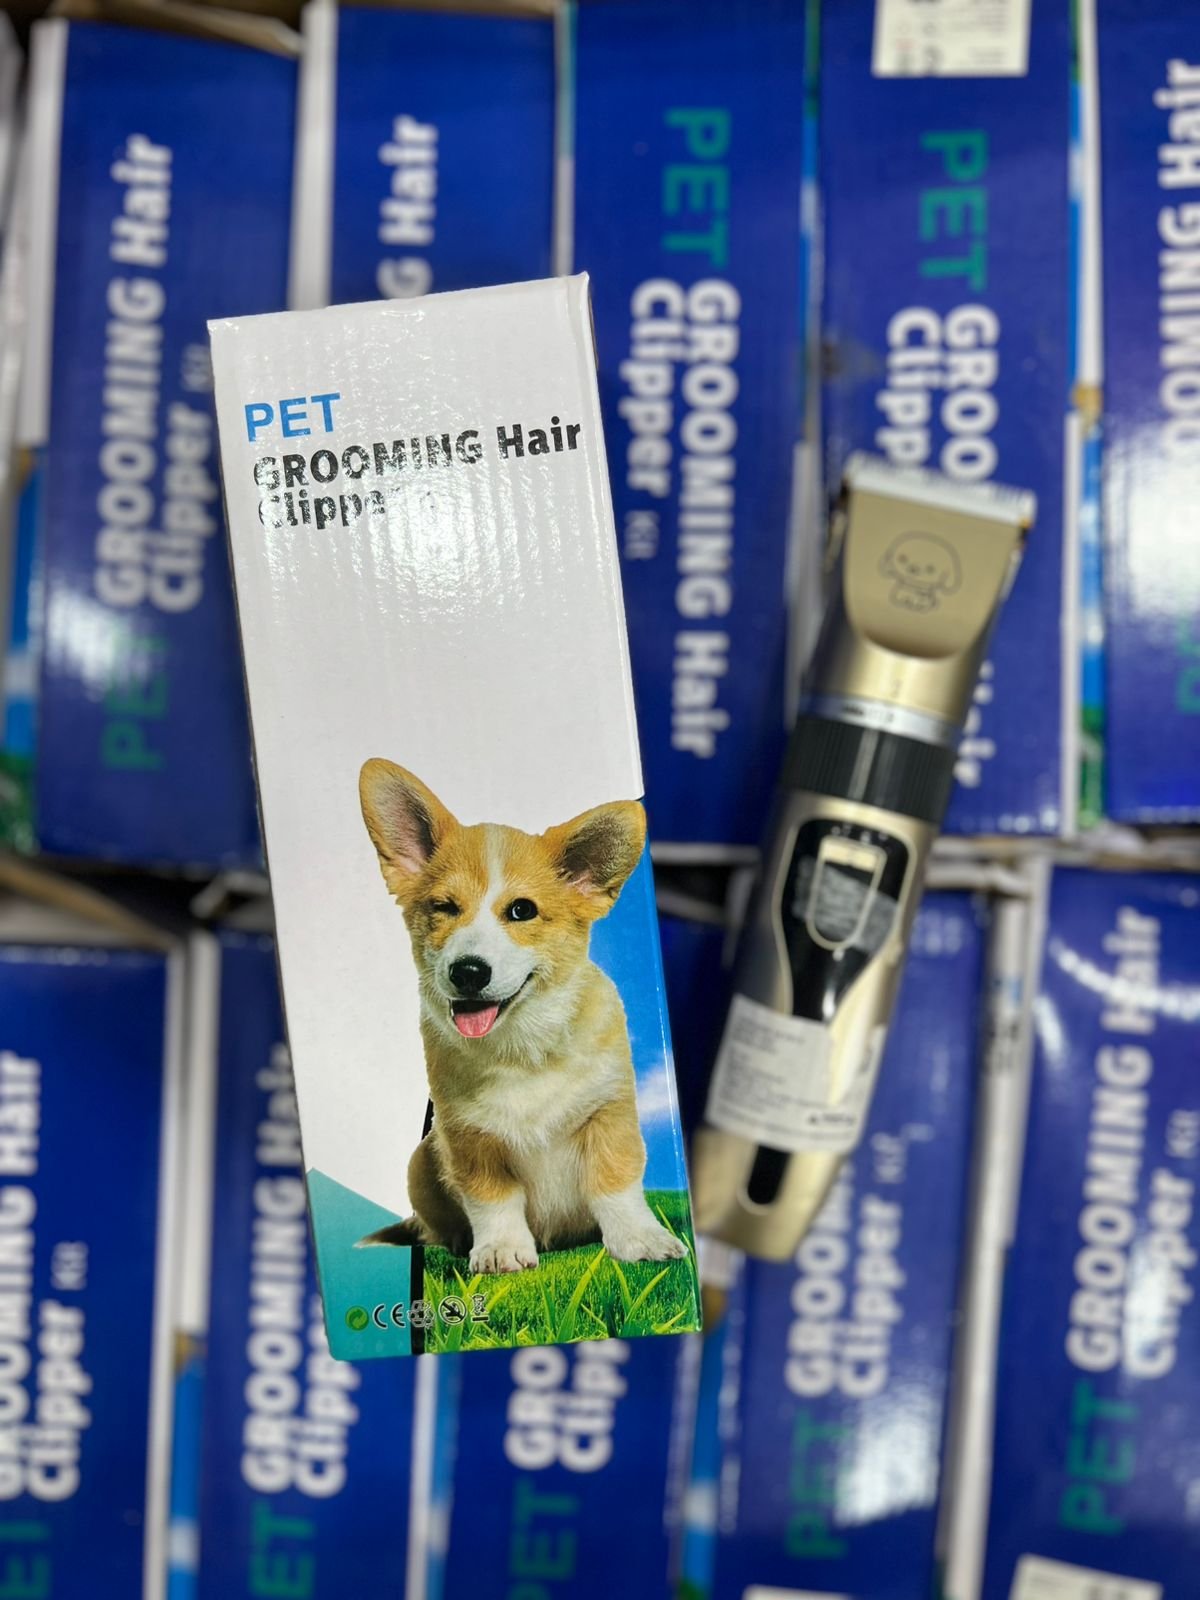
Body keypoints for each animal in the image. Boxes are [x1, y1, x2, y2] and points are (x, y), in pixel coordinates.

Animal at [356, 758, 688, 1275]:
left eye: (521, 910)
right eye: (444, 907)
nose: (468, 971)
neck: (523, 1049)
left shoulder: (609, 1112)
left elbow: (616, 1182)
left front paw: (640, 1241)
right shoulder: (468, 1137)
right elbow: (493, 1198)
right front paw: (500, 1251)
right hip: (420, 1161)